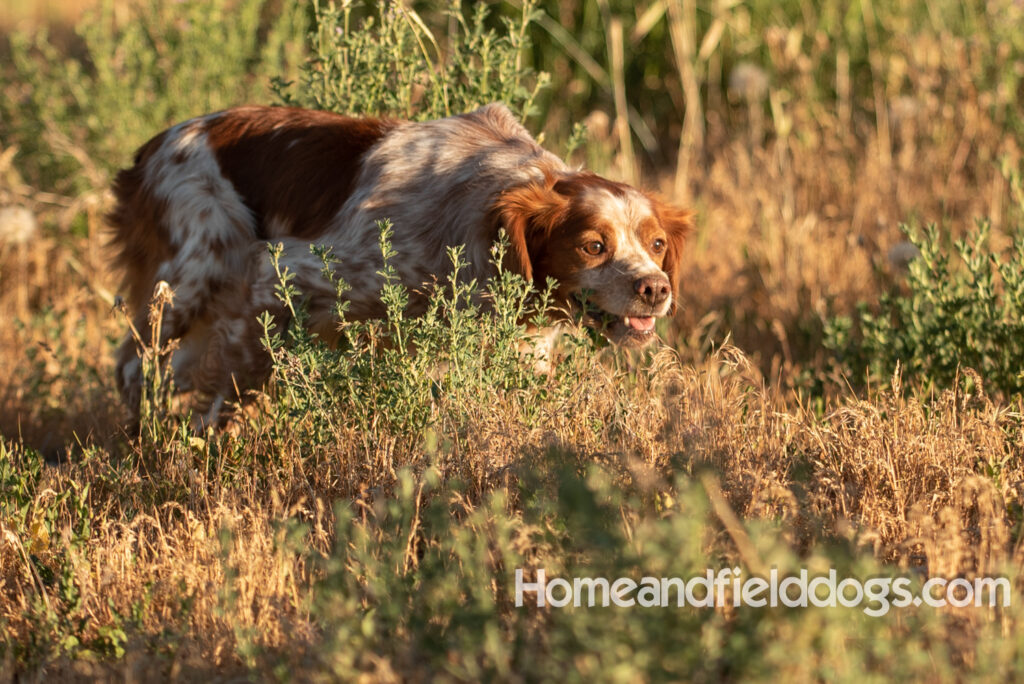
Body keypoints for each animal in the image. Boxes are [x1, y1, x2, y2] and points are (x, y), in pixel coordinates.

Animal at [108, 103, 692, 419]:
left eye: (657, 245)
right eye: (593, 245)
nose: (655, 289)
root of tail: (148, 150)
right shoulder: (278, 277)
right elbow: (231, 396)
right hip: (191, 282)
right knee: (134, 367)